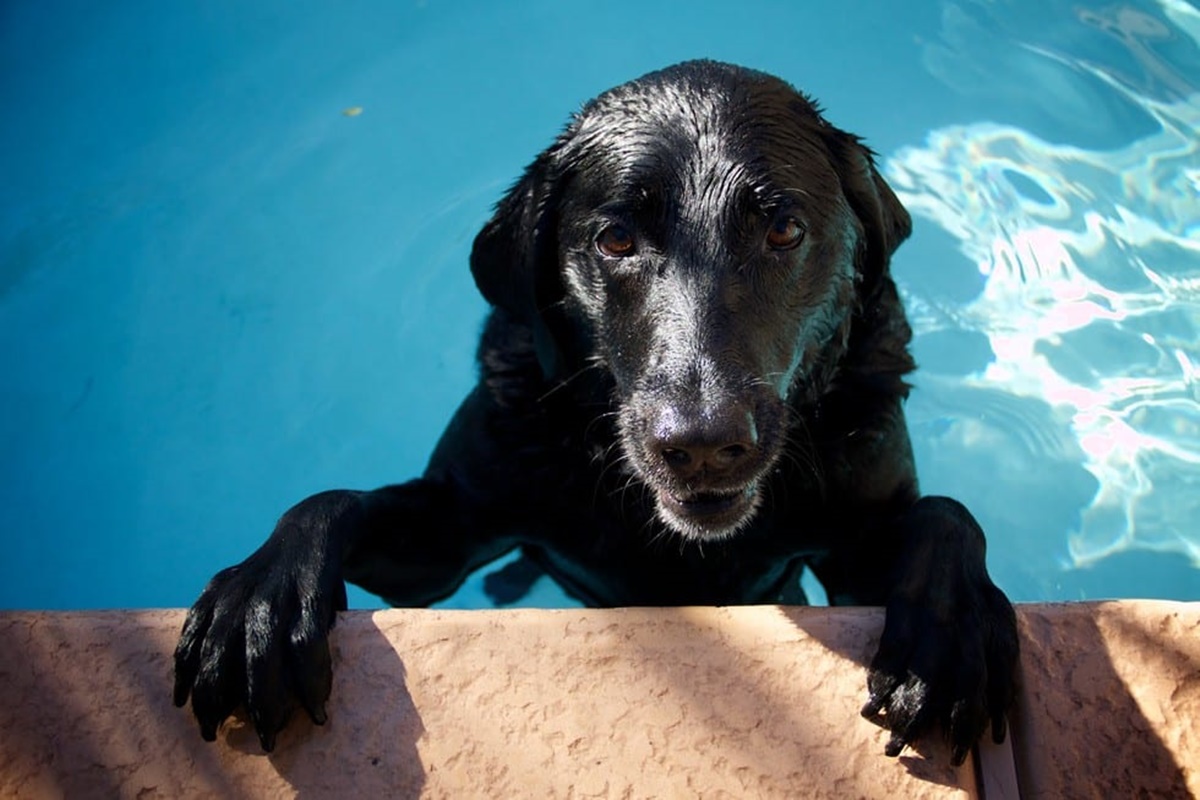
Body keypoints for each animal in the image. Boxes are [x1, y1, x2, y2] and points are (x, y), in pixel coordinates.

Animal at [175, 61, 1022, 762]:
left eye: (783, 228)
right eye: (615, 238)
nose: (703, 442)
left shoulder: (856, 545)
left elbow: (946, 515)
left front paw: (950, 636)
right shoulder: (445, 534)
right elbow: (330, 502)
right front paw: (260, 602)